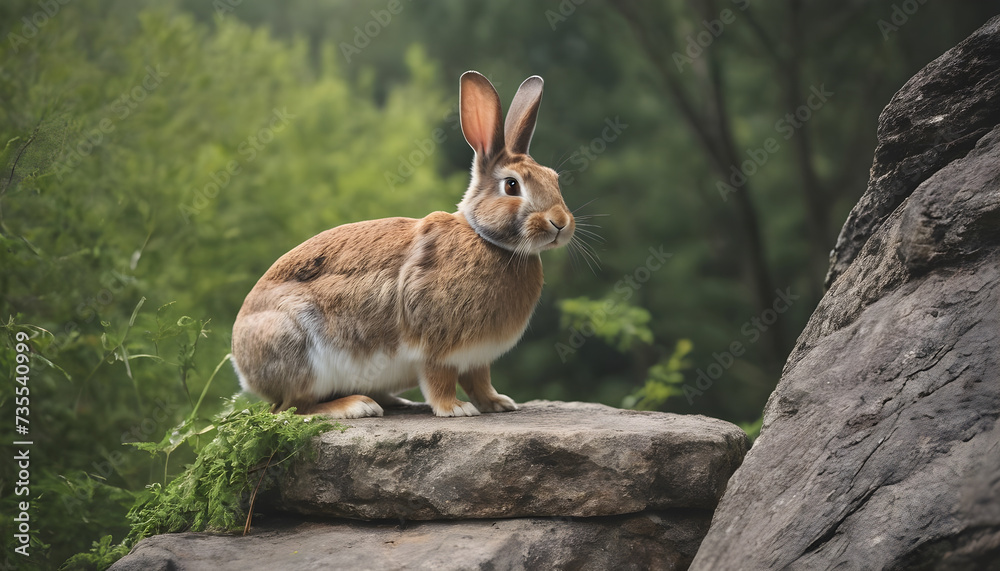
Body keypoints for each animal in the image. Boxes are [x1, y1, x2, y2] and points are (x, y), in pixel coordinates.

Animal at [231, 70, 575, 418]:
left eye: (554, 178)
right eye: (512, 185)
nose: (560, 223)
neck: (485, 238)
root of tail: (242, 364)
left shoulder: (476, 358)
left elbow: (480, 381)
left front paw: (498, 403)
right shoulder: (437, 350)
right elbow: (439, 380)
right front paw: (456, 409)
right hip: (299, 351)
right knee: (293, 406)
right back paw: (357, 406)